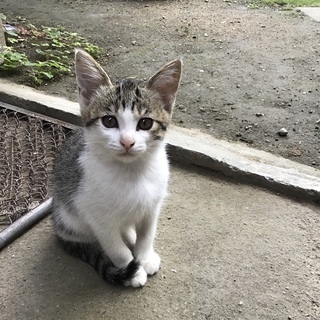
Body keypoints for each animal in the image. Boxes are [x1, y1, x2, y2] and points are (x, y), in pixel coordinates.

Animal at [52, 49, 182, 288]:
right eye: (109, 121)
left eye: (146, 123)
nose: (127, 142)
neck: (132, 173)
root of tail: (56, 226)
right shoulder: (95, 215)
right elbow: (115, 247)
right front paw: (131, 270)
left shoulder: (152, 206)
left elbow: (147, 234)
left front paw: (144, 257)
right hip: (70, 220)